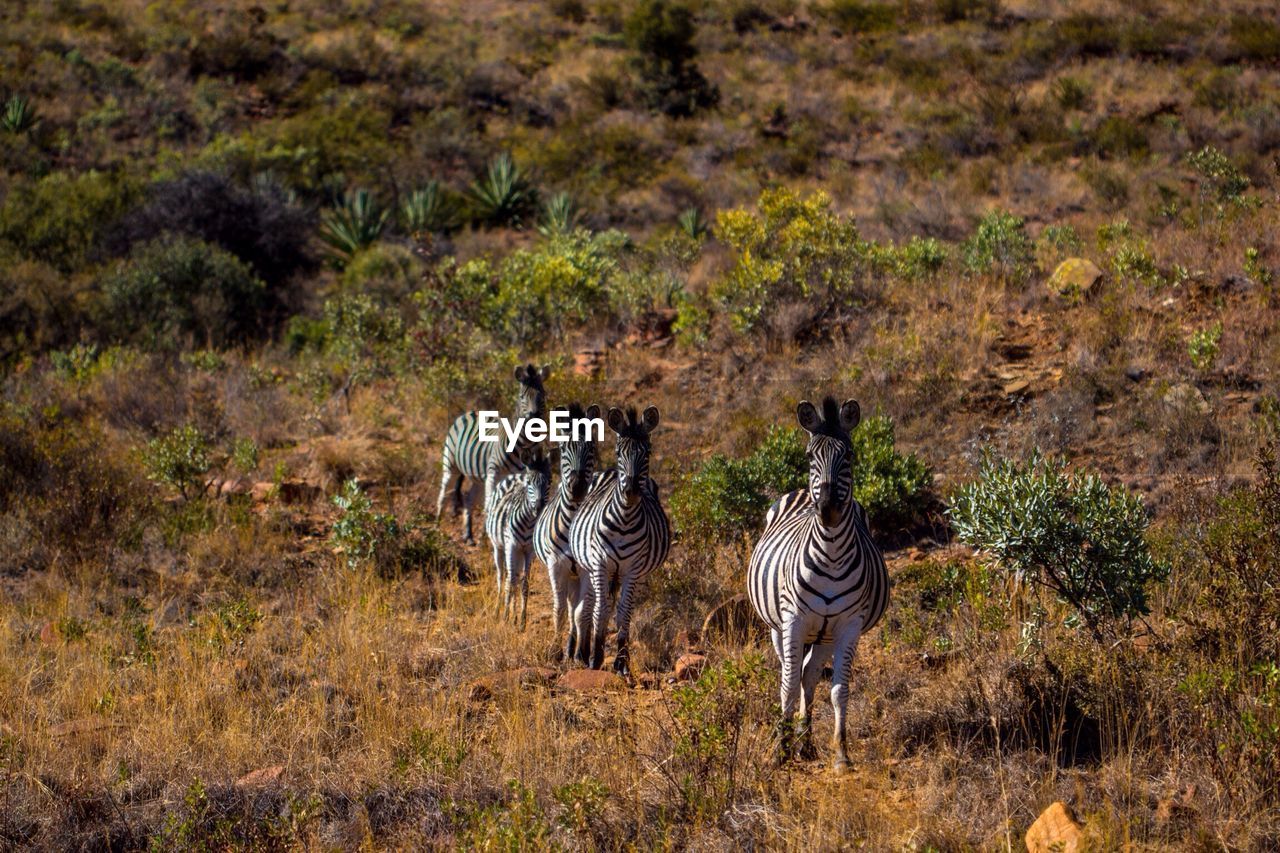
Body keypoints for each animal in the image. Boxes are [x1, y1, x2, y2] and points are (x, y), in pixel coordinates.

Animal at [437, 361, 547, 540]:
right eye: (522, 397)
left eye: (542, 396)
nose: (535, 420)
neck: (521, 445)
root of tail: (471, 412)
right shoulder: (493, 473)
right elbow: (490, 504)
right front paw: (487, 535)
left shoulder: (521, 475)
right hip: (451, 465)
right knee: (443, 493)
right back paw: (436, 526)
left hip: (477, 476)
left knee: (469, 498)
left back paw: (468, 535)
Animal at [481, 440, 550, 627]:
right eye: (530, 483)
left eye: (548, 483)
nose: (539, 507)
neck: (528, 523)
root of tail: (515, 476)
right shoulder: (511, 545)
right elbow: (509, 581)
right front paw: (505, 616)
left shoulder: (529, 551)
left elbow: (524, 583)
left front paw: (521, 621)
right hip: (499, 547)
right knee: (502, 576)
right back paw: (498, 611)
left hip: (518, 551)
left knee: (516, 577)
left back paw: (513, 614)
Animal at [535, 399, 604, 655]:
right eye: (564, 449)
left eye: (591, 448)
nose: (577, 487)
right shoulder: (556, 565)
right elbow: (561, 610)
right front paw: (556, 650)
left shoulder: (587, 569)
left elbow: (582, 612)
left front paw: (581, 653)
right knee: (568, 604)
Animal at [568, 404, 670, 671]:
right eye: (617, 451)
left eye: (648, 452)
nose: (632, 491)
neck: (624, 519)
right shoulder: (600, 564)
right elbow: (601, 610)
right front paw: (595, 657)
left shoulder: (632, 569)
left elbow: (624, 612)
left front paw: (621, 661)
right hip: (591, 567)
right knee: (592, 605)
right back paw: (584, 651)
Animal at [747, 394, 890, 773]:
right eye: (811, 456)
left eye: (850, 455)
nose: (827, 508)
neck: (831, 555)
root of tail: (798, 491)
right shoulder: (793, 620)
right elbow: (786, 684)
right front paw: (780, 751)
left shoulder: (849, 626)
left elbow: (839, 690)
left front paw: (840, 753)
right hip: (778, 627)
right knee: (792, 673)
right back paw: (791, 740)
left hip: (825, 634)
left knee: (809, 674)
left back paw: (806, 743)